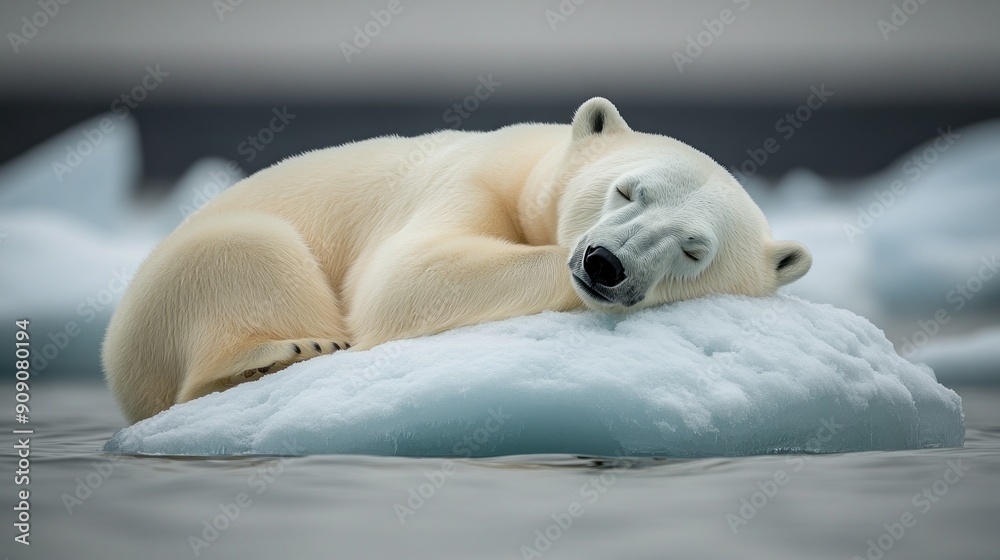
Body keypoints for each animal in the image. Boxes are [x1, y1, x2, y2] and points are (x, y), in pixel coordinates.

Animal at [103, 97, 812, 423]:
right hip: (177, 283)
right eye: (627, 190)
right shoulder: (466, 181)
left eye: (694, 249)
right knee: (246, 249)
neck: (530, 171)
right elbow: (410, 275)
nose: (605, 262)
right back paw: (285, 350)